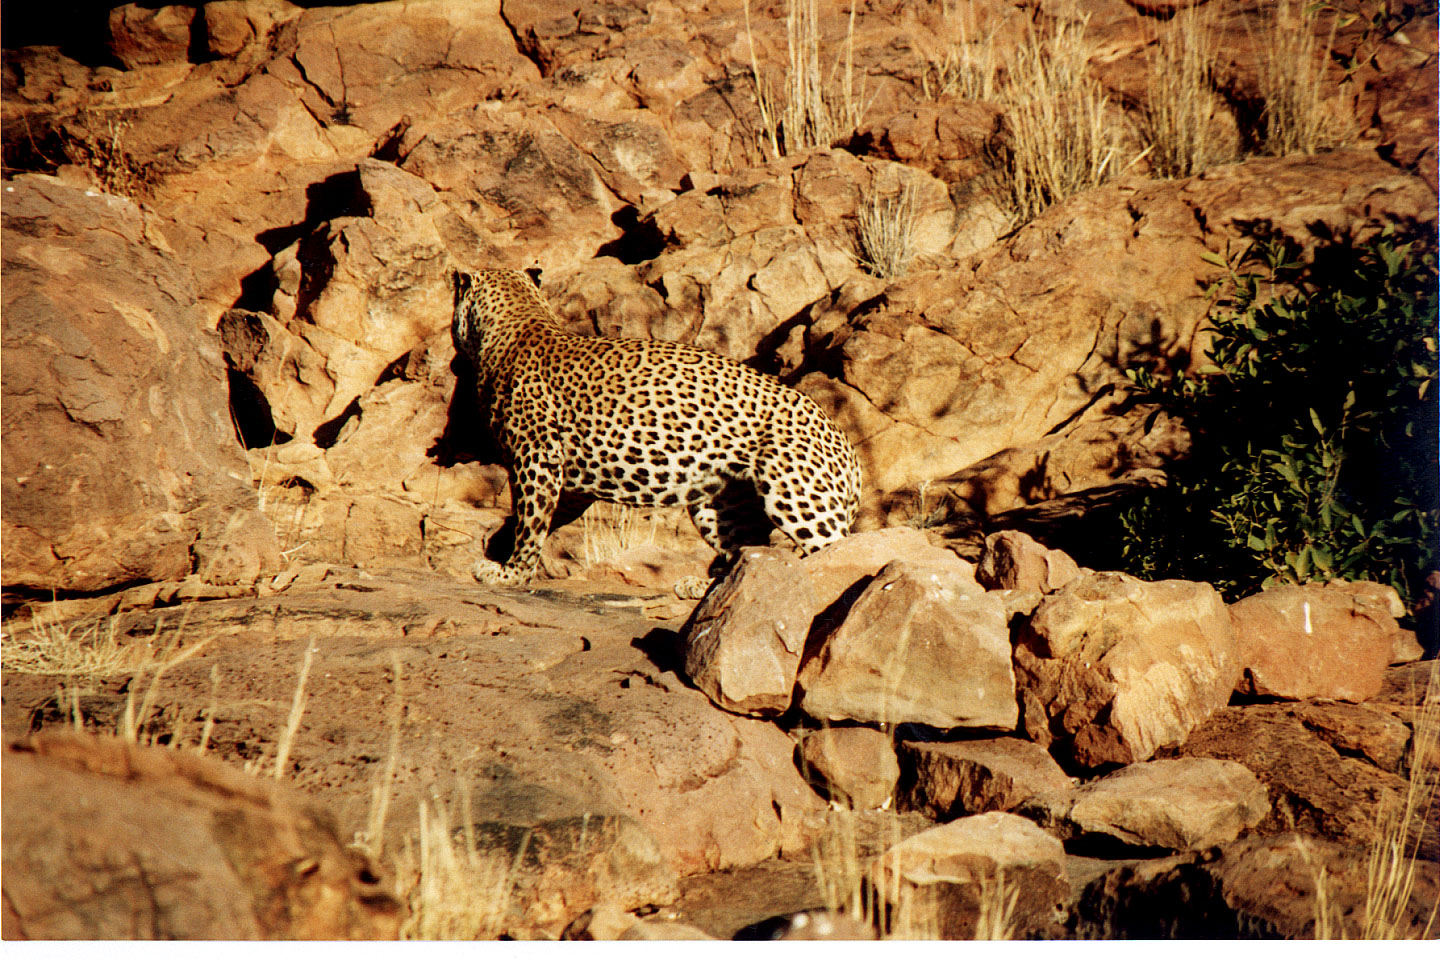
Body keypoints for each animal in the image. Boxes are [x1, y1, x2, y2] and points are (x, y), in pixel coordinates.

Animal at [449, 266, 858, 595]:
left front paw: (511, 573)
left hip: (797, 494)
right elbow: (539, 516)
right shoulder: (567, 475)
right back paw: (705, 587)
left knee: (836, 546)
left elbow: (530, 521)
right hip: (719, 502)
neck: (521, 320)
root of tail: (847, 448)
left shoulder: (536, 458)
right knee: (747, 548)